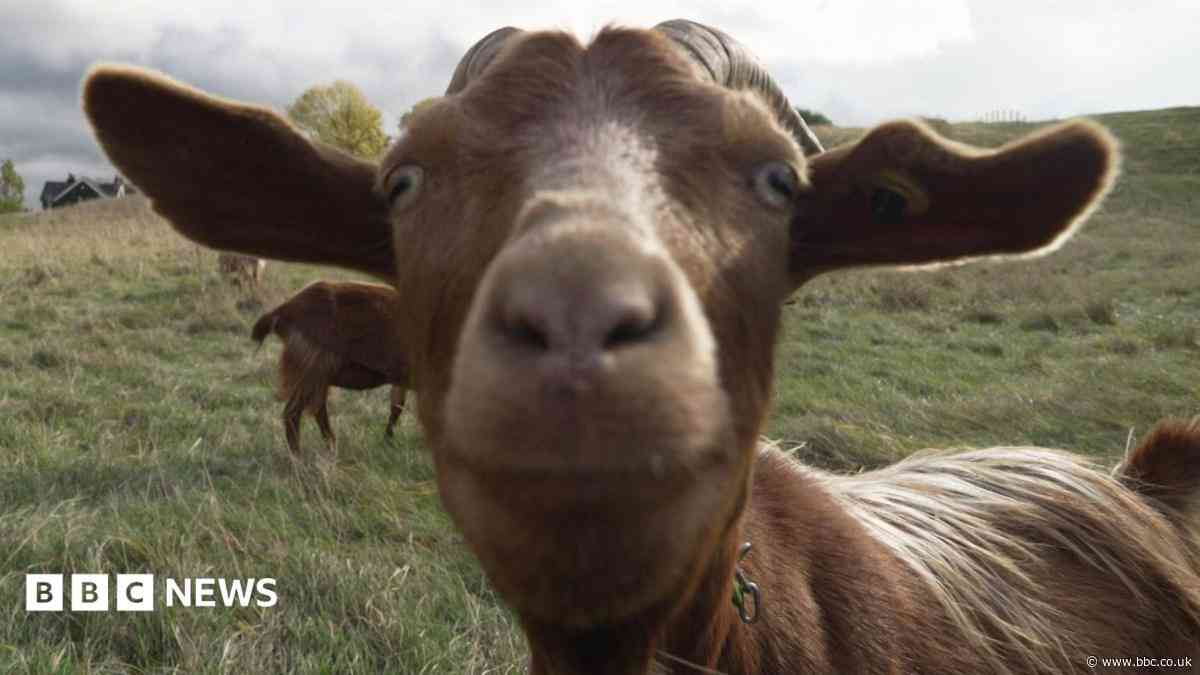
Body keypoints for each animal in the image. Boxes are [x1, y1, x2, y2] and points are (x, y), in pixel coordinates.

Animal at [251, 280, 409, 453]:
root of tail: (283, 311)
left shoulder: (401, 377)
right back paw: (302, 455)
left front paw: (386, 442)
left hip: (316, 375)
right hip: (312, 370)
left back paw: (328, 446)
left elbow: (396, 406)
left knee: (315, 410)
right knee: (294, 413)